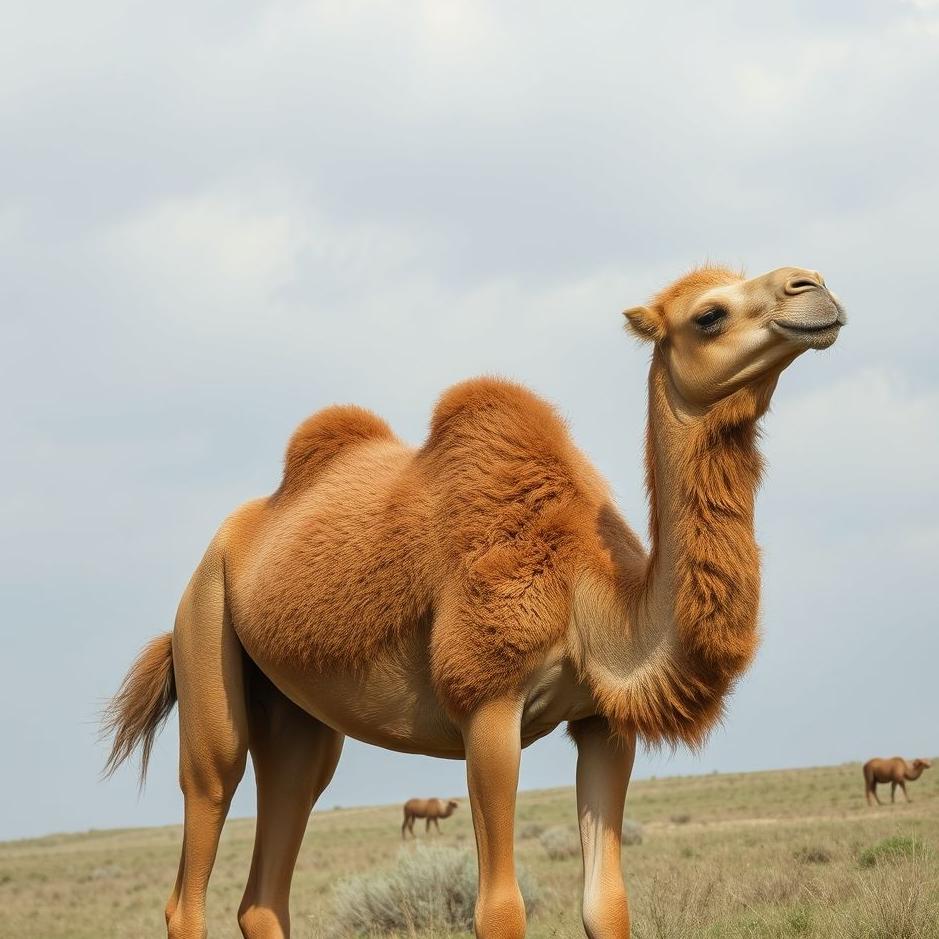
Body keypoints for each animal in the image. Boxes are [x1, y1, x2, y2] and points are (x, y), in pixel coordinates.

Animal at [103, 264, 844, 939]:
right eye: (708, 315)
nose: (814, 288)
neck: (591, 602)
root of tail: (224, 542)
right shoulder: (486, 704)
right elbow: (499, 910)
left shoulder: (604, 725)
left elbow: (606, 905)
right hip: (205, 634)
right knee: (201, 828)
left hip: (300, 721)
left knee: (270, 874)